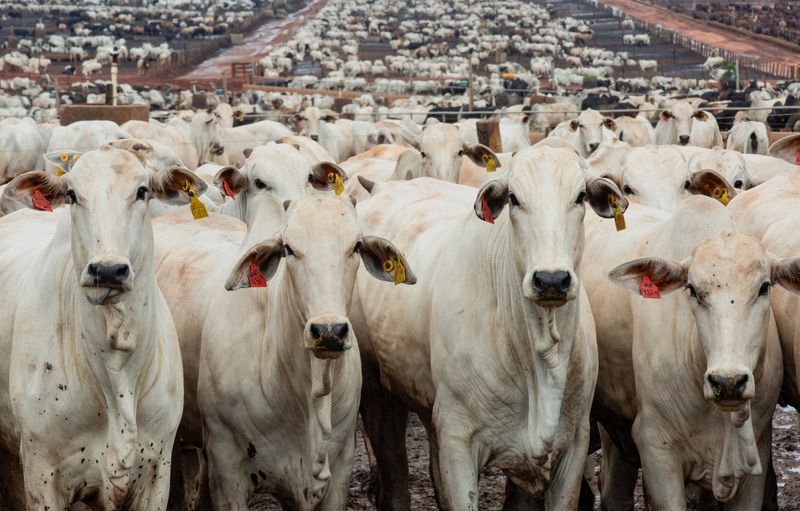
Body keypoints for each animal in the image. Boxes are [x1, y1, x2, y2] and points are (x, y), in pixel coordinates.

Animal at [351, 146, 627, 509]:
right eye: (514, 198)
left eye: (580, 196)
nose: (551, 279)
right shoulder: (458, 442)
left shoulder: (574, 444)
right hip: (377, 394)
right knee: (395, 484)